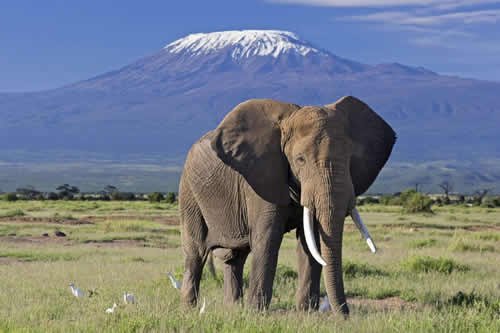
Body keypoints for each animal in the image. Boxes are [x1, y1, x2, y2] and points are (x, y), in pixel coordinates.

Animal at [179, 96, 394, 314]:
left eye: (350, 158)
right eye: (300, 159)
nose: (345, 316)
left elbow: (311, 241)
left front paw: (307, 313)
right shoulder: (261, 178)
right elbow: (268, 239)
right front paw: (256, 313)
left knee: (235, 257)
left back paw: (233, 309)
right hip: (189, 192)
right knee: (196, 251)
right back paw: (189, 309)